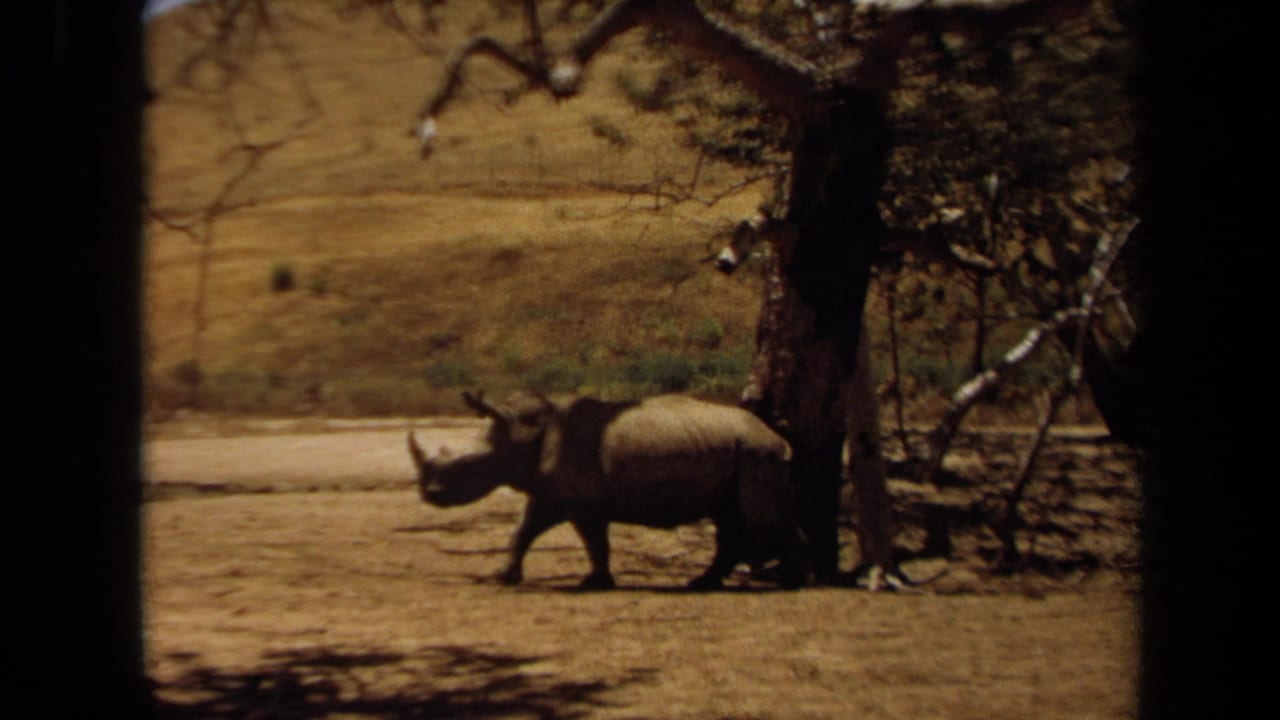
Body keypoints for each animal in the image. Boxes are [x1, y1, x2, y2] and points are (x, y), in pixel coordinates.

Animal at [408, 390, 810, 590]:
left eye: (466, 466)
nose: (429, 494)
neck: (519, 431)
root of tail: (775, 436)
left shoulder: (584, 500)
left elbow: (594, 541)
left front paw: (594, 582)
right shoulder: (551, 492)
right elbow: (523, 530)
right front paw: (503, 577)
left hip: (756, 453)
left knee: (759, 517)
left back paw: (793, 583)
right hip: (739, 452)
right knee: (728, 518)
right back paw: (703, 584)